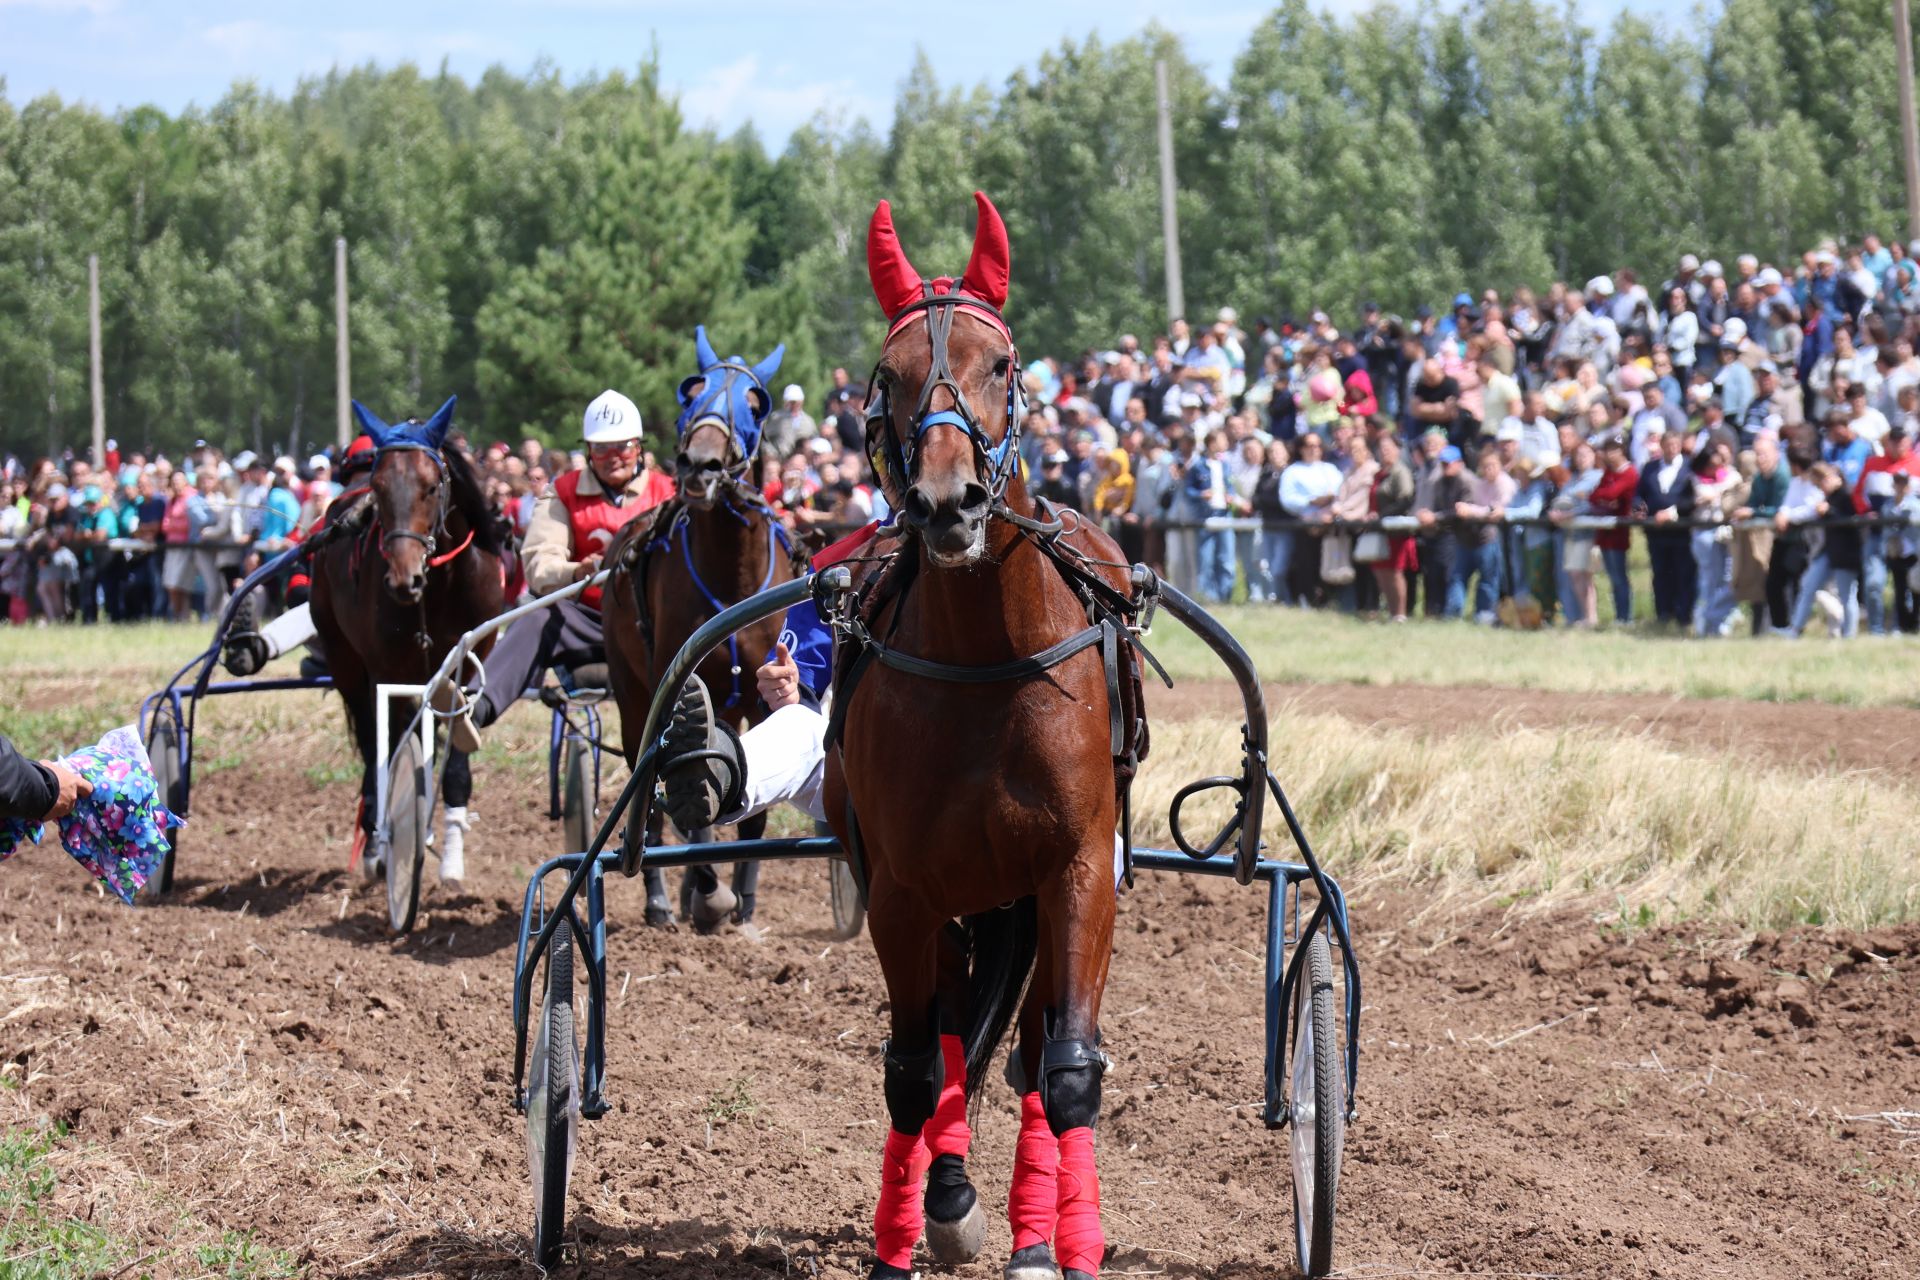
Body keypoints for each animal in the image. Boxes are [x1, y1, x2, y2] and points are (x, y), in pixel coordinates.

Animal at [602, 330, 806, 932]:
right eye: (691, 395)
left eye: (754, 404)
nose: (700, 465)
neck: (730, 571)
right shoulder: (679, 684)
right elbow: (687, 792)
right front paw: (712, 896)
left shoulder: (759, 691)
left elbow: (751, 812)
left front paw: (743, 904)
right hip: (630, 694)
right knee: (645, 793)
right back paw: (664, 899)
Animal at [821, 192, 1136, 1280]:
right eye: (888, 375)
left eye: (1002, 362)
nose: (948, 502)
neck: (983, 663)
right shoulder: (902, 887)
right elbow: (917, 1068)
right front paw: (908, 1234)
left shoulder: (1074, 867)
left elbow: (1066, 1064)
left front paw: (1068, 1243)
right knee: (957, 1028)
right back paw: (951, 1194)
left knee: (1031, 1047)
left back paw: (1034, 1225)